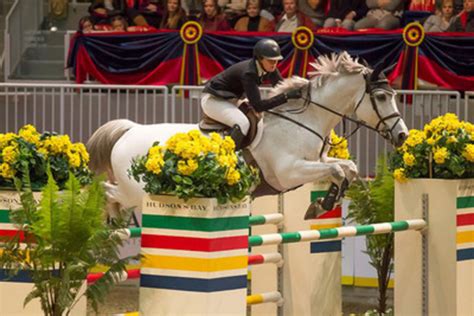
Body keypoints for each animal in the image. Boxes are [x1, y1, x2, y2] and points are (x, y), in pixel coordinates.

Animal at [87, 51, 410, 211]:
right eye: (382, 97)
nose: (403, 135)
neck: (304, 121)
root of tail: (130, 130)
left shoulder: (316, 162)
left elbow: (347, 168)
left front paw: (325, 203)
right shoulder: (289, 172)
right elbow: (339, 171)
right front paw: (323, 205)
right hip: (134, 189)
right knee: (109, 192)